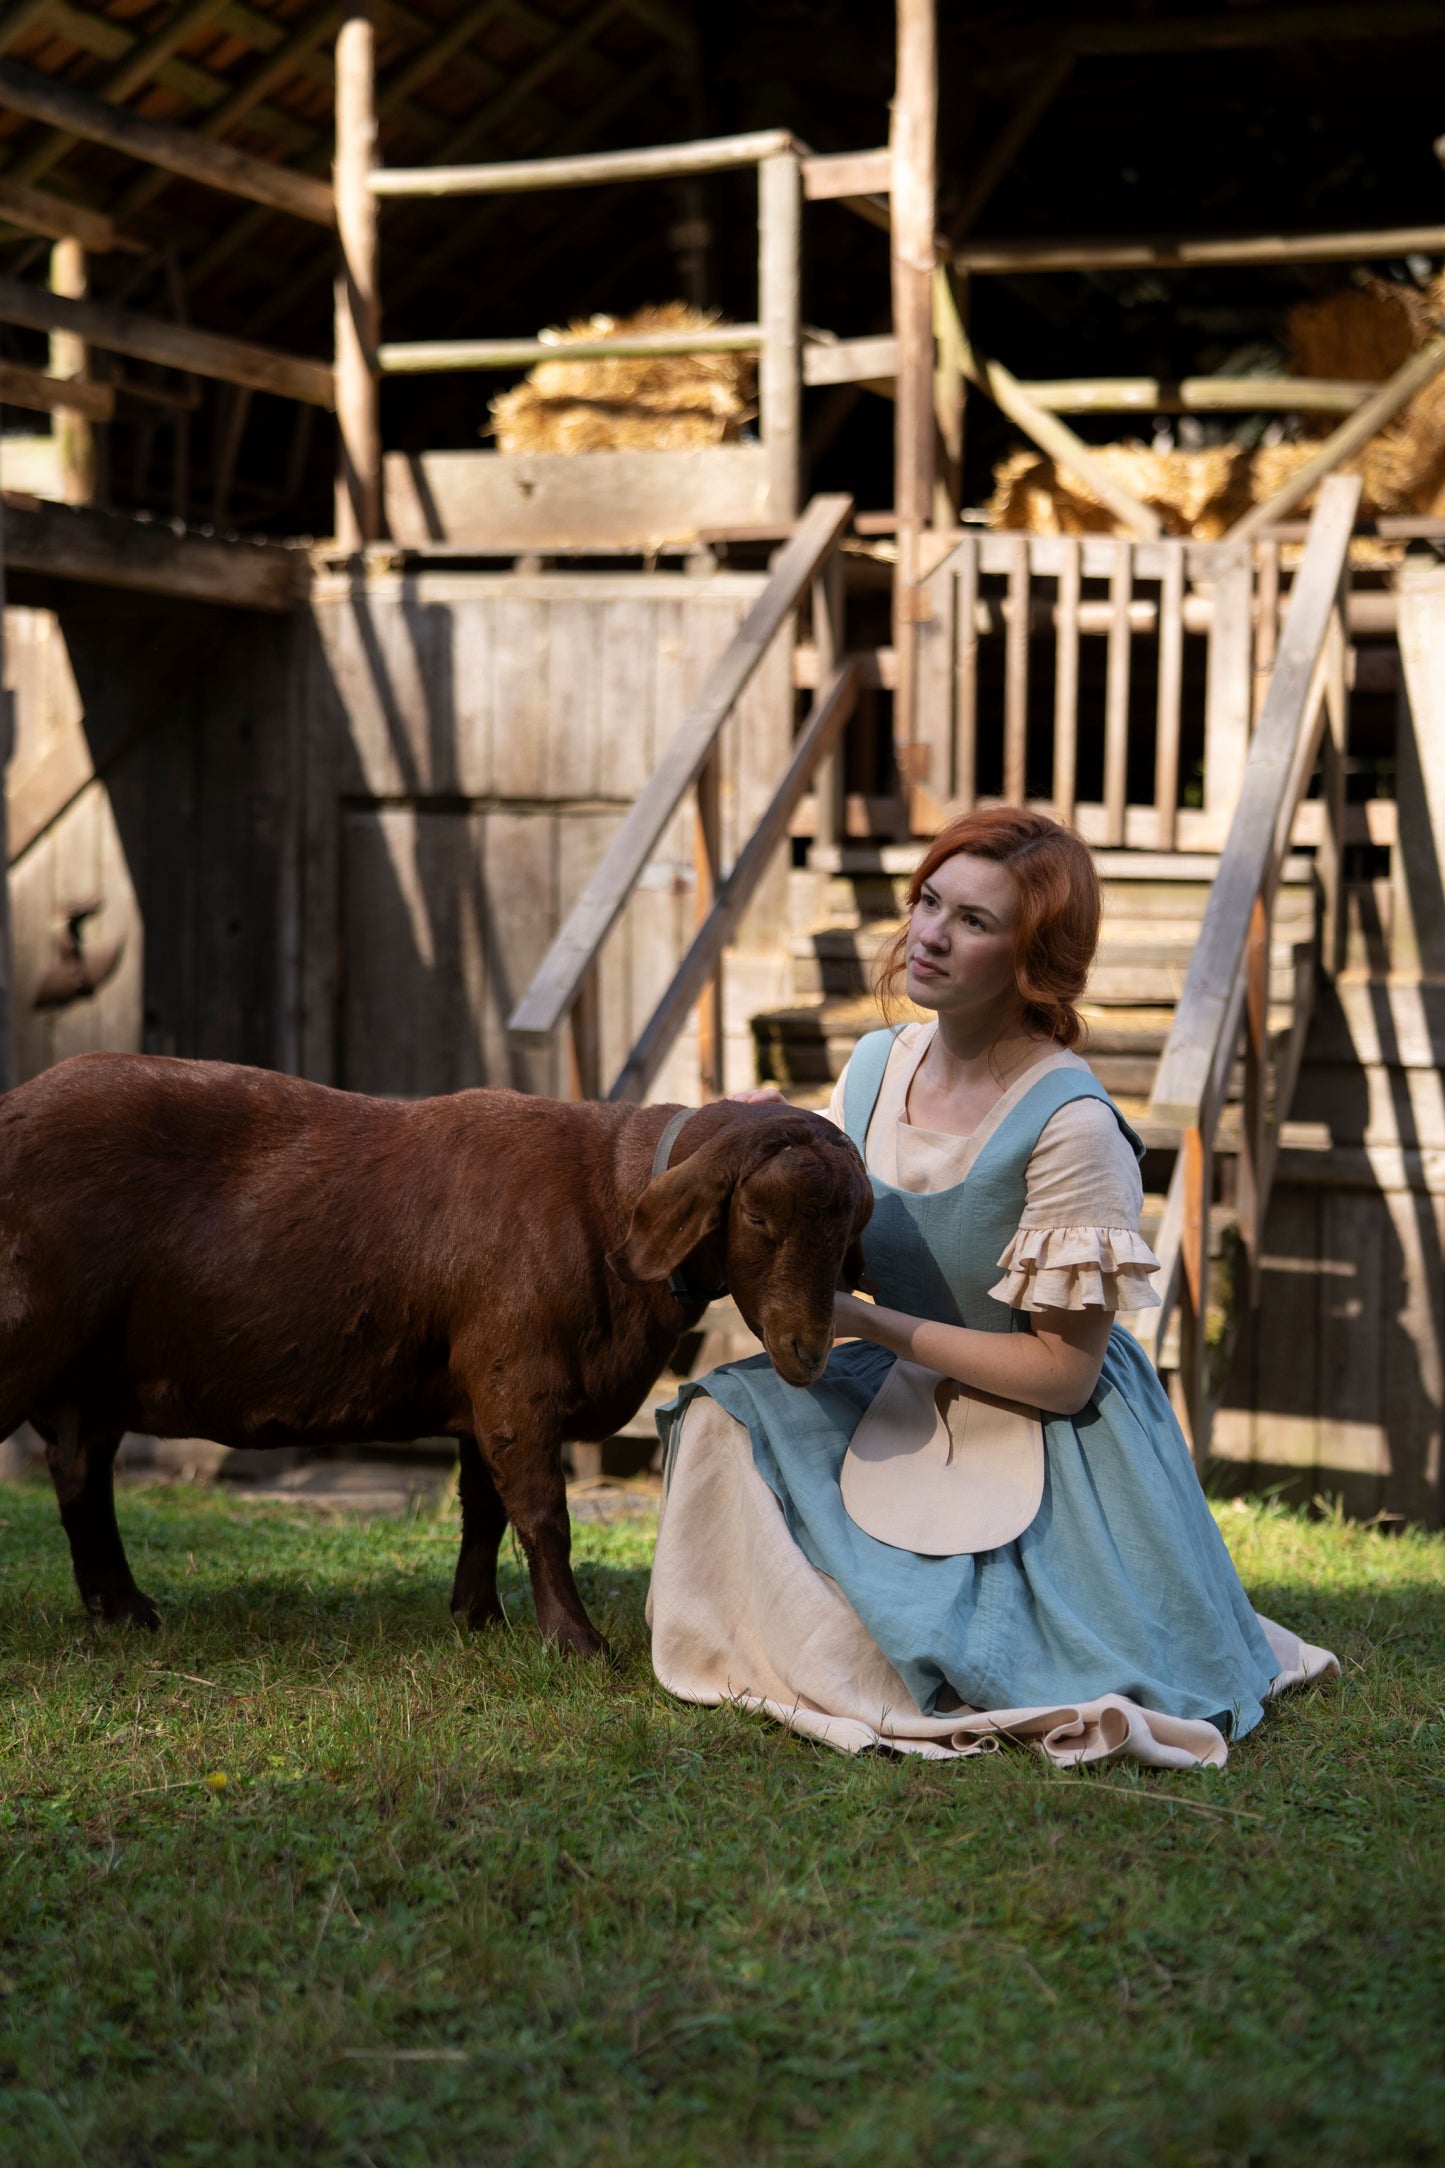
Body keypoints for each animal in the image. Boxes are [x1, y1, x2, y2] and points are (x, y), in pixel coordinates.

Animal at [0, 1057, 870, 1647]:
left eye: (852, 1226)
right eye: (757, 1216)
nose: (807, 1349)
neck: (605, 1200)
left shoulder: (477, 1385)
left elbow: (481, 1510)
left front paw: (477, 1618)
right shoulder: (516, 1377)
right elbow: (542, 1514)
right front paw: (575, 1641)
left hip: (89, 1375)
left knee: (80, 1474)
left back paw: (124, 1611)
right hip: (26, 1341)